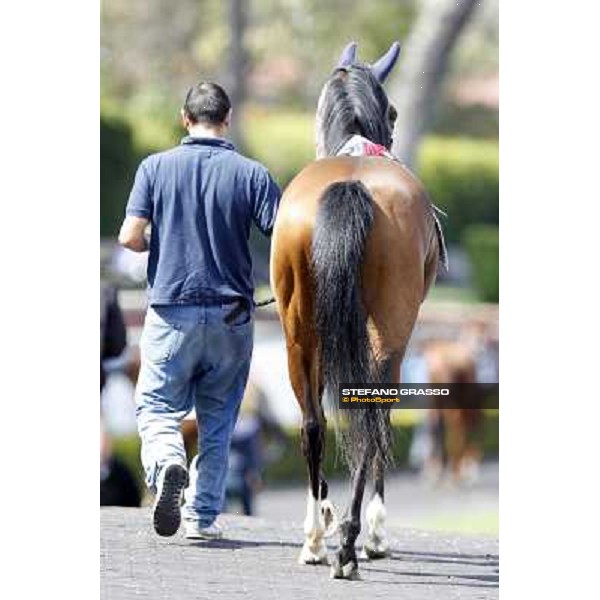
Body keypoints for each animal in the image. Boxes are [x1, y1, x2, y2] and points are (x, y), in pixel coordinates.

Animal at [272, 39, 446, 580]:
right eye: (393, 111)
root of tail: (351, 185)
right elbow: (382, 419)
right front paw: (374, 532)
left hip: (299, 333)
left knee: (312, 424)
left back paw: (314, 538)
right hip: (389, 331)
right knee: (370, 417)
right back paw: (351, 543)